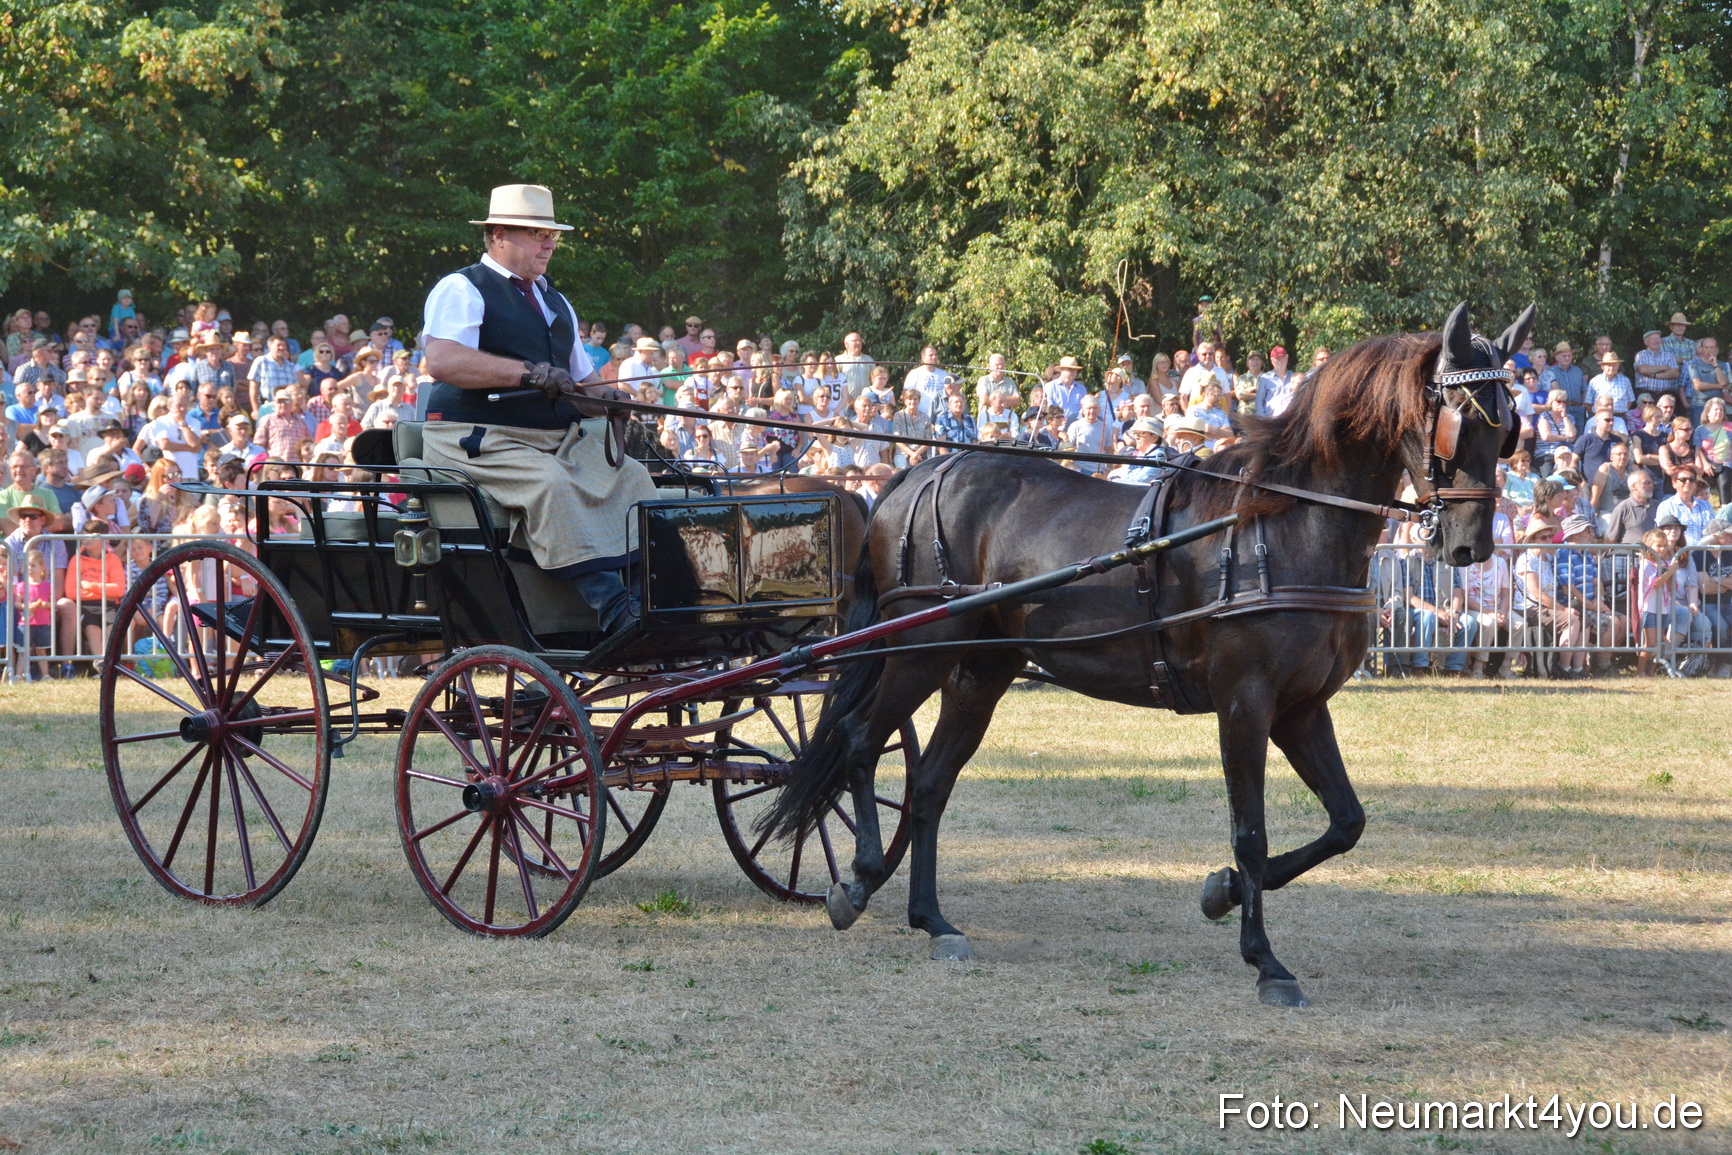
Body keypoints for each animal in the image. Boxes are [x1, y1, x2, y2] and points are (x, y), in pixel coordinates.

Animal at [764, 303, 1532, 1007]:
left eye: (1509, 427)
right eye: (1462, 418)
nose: (1470, 545)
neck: (1285, 524)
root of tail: (918, 474)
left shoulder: (1302, 708)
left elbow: (1346, 822)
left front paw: (1221, 892)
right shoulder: (1245, 703)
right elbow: (1250, 832)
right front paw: (1265, 960)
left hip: (982, 670)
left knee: (928, 784)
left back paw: (932, 919)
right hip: (921, 649)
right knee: (860, 739)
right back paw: (860, 878)